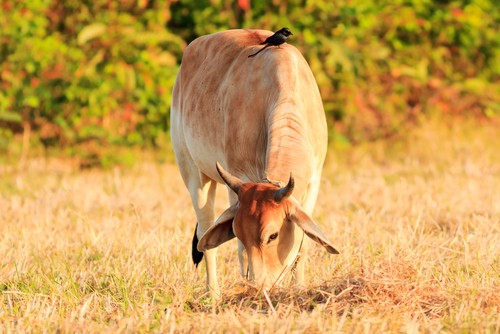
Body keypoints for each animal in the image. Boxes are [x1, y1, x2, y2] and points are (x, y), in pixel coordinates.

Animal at [170, 28, 338, 298]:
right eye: (237, 231)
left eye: (273, 235)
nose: (261, 288)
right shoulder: (237, 178)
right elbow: (240, 251)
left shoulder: (314, 181)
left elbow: (302, 246)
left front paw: (299, 289)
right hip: (193, 174)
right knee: (206, 237)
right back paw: (213, 293)